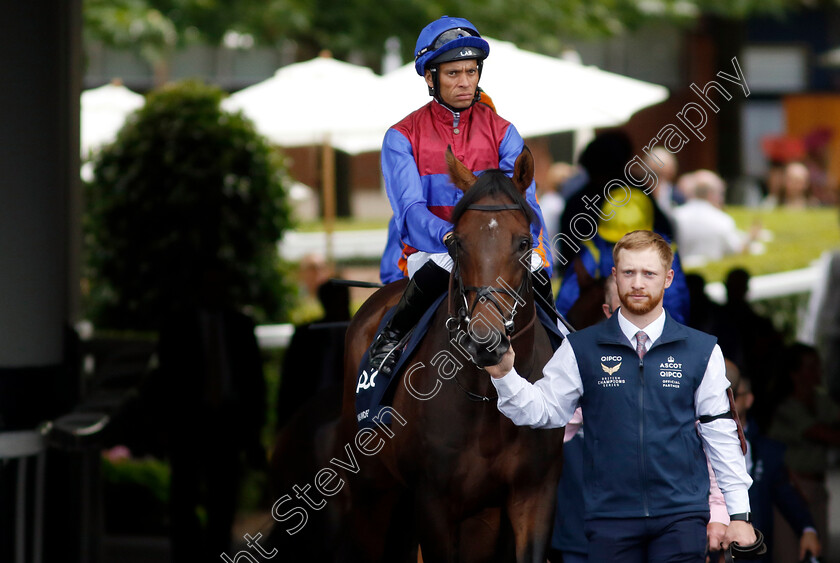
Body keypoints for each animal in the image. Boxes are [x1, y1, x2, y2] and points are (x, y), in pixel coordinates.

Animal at [338, 148, 568, 563]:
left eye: (524, 242)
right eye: (456, 242)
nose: (485, 341)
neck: (488, 400)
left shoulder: (535, 494)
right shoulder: (433, 502)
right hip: (372, 494)